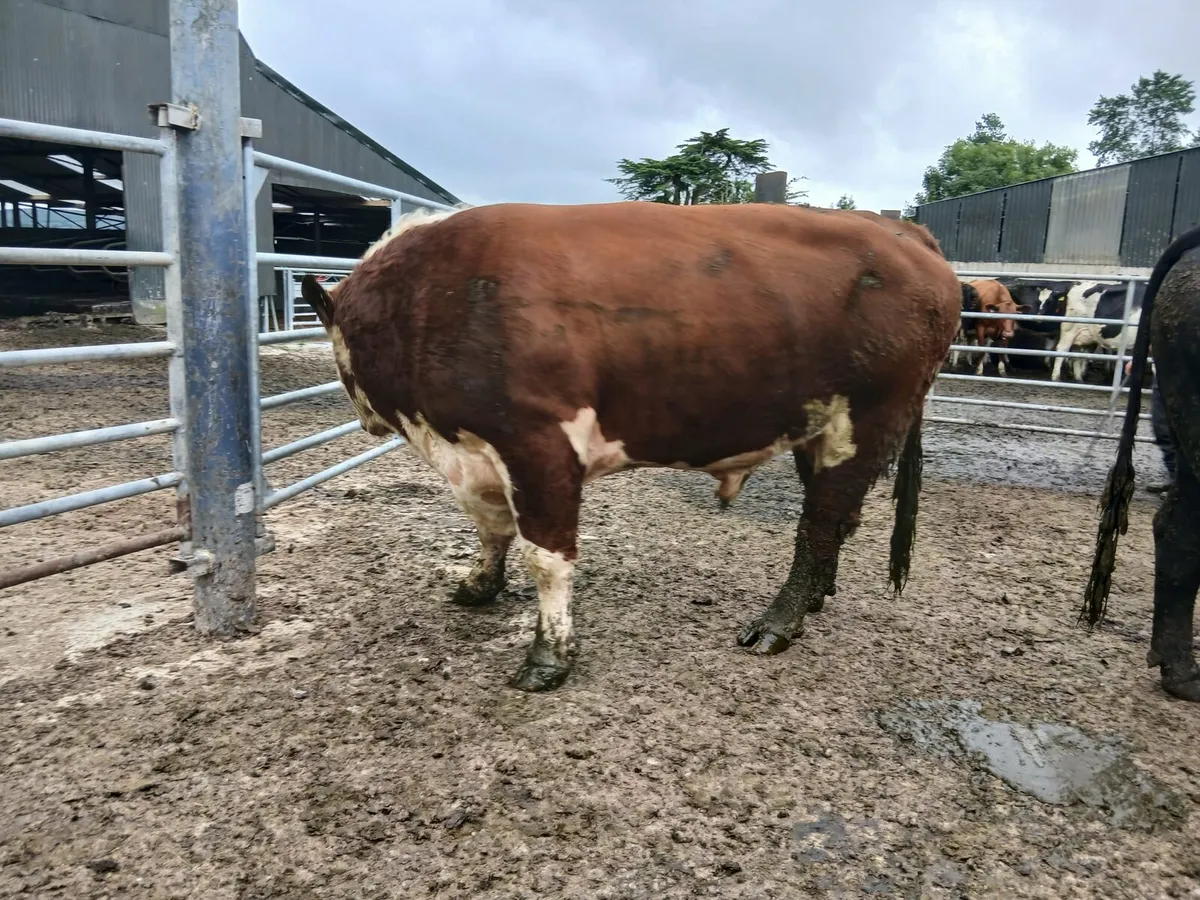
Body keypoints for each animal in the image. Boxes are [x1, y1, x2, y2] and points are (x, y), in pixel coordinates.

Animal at [300, 201, 963, 692]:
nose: (364, 421)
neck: (434, 298)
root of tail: (903, 229)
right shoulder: (474, 455)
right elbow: (491, 530)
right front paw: (479, 586)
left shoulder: (538, 445)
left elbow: (547, 557)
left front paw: (549, 657)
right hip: (819, 426)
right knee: (837, 520)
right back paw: (817, 598)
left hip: (867, 419)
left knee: (821, 523)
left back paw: (778, 622)